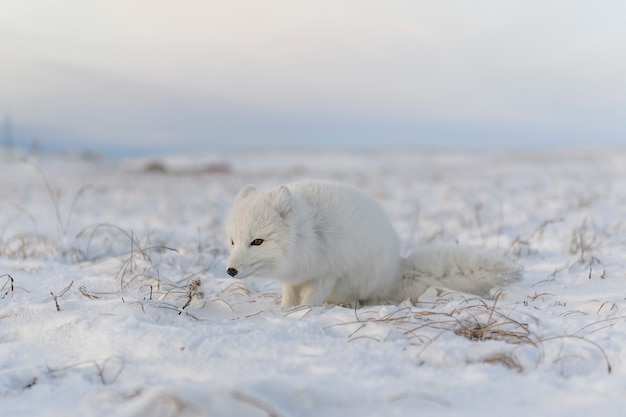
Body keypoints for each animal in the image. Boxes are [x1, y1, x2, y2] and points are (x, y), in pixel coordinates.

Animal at [224, 180, 516, 308]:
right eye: (232, 241)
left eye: (257, 241)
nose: (230, 271)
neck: (308, 235)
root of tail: (396, 269)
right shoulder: (294, 277)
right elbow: (289, 297)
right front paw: (285, 311)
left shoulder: (327, 273)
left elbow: (310, 300)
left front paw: (301, 313)